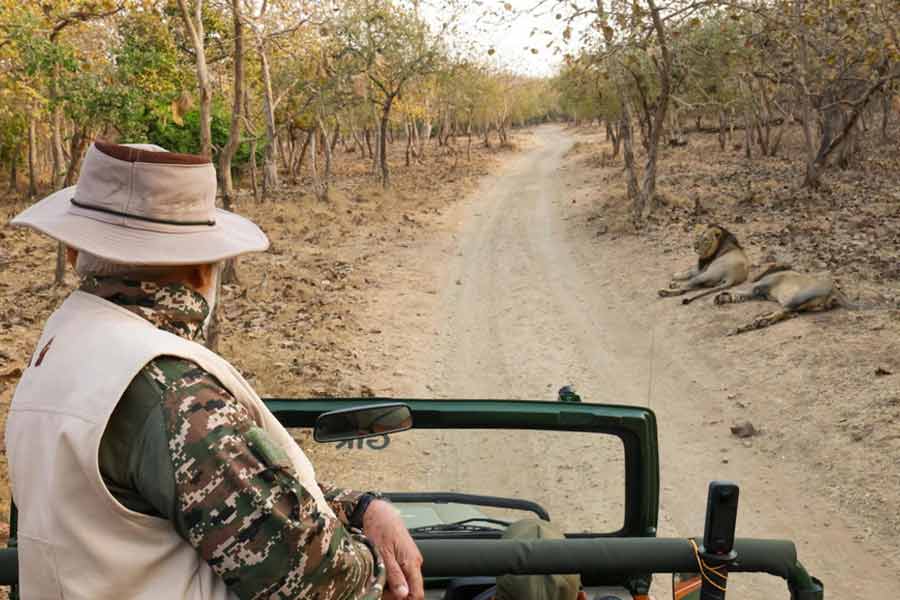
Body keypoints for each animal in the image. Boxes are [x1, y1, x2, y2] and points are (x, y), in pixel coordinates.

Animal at [714, 264, 854, 335]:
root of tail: (831, 290)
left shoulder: (757, 289)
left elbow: (741, 292)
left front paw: (723, 296)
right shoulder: (758, 292)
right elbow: (740, 294)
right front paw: (725, 297)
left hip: (795, 299)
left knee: (782, 312)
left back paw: (754, 323)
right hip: (798, 303)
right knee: (786, 312)